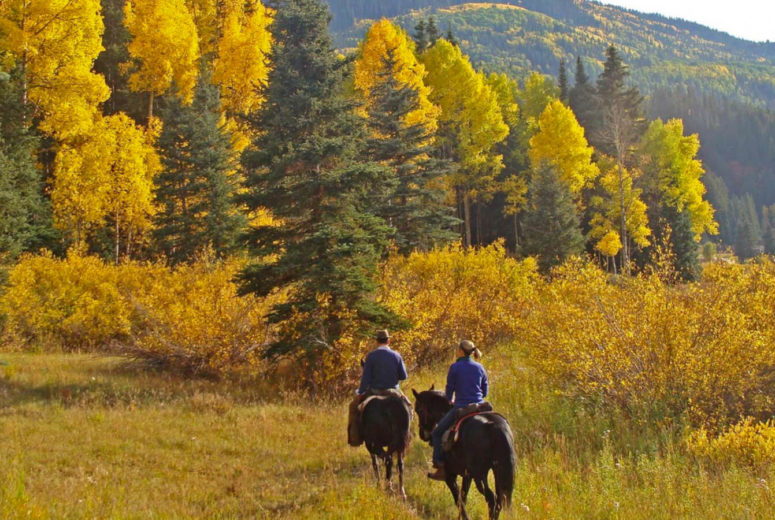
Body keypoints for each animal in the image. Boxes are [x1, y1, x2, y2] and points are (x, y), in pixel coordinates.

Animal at [412, 386, 516, 520]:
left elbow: (458, 499)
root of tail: (495, 427)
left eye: (418, 410)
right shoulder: (467, 475)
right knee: (499, 499)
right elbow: (464, 497)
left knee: (491, 498)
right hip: (497, 471)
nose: (422, 434)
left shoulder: (450, 475)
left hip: (480, 474)